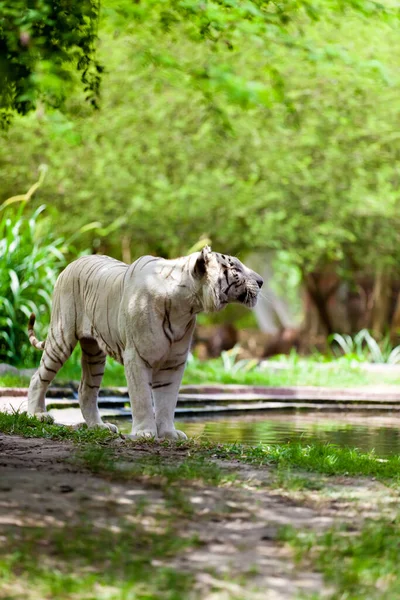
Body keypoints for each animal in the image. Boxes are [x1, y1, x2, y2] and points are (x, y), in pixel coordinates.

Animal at [28, 245, 266, 440]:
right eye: (235, 269)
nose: (262, 282)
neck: (186, 306)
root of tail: (73, 263)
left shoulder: (174, 363)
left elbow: (167, 402)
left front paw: (169, 433)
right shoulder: (137, 357)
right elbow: (142, 397)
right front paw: (145, 432)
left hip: (94, 352)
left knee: (86, 389)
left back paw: (99, 427)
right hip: (62, 336)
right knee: (38, 377)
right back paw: (37, 415)